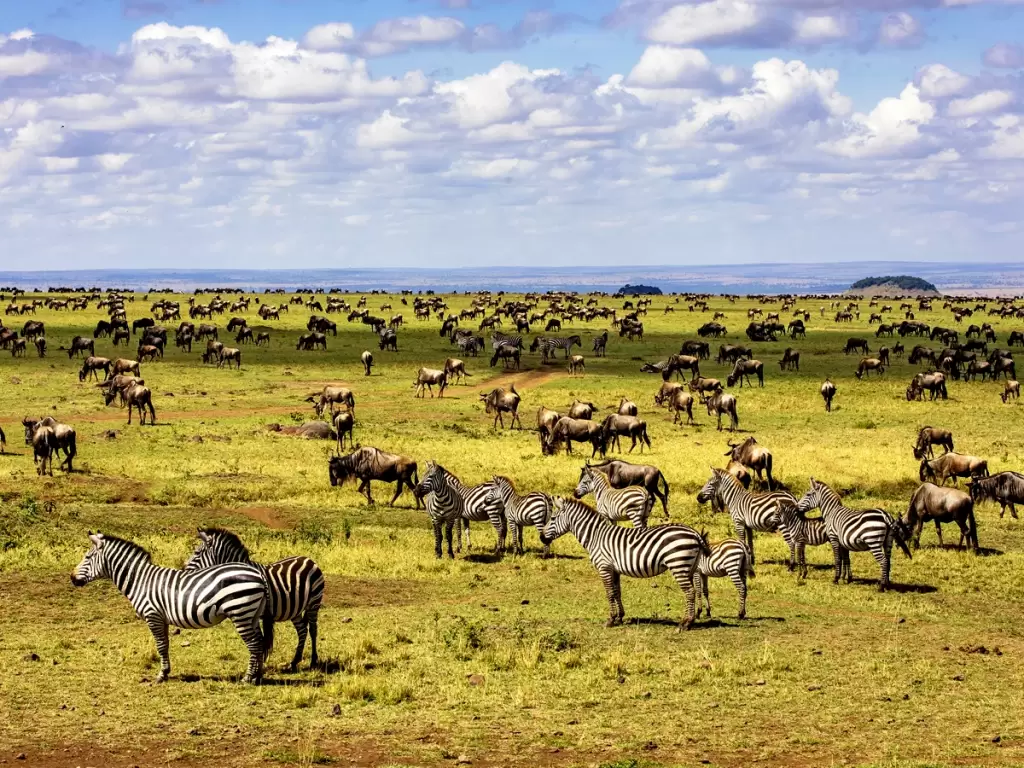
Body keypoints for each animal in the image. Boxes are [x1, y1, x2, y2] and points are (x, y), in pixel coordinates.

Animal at [71, 532, 270, 683]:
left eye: (87, 557)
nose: (72, 578)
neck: (139, 580)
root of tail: (258, 574)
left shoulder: (152, 615)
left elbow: (159, 645)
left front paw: (161, 675)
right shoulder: (162, 618)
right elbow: (165, 644)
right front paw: (166, 672)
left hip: (240, 612)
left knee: (253, 643)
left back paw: (247, 678)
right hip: (251, 615)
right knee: (260, 642)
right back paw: (257, 677)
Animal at [184, 528, 325, 672]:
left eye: (196, 553)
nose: (184, 571)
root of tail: (308, 559)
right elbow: (260, 640)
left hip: (314, 602)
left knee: (313, 630)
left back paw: (313, 661)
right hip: (295, 609)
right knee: (302, 631)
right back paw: (295, 661)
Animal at [541, 497, 708, 629]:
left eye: (553, 518)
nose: (542, 538)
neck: (595, 536)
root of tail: (694, 533)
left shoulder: (604, 567)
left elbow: (609, 593)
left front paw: (610, 620)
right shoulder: (614, 569)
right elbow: (617, 591)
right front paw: (620, 617)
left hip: (678, 564)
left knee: (689, 592)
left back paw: (685, 623)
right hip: (689, 566)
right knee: (694, 590)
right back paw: (691, 620)